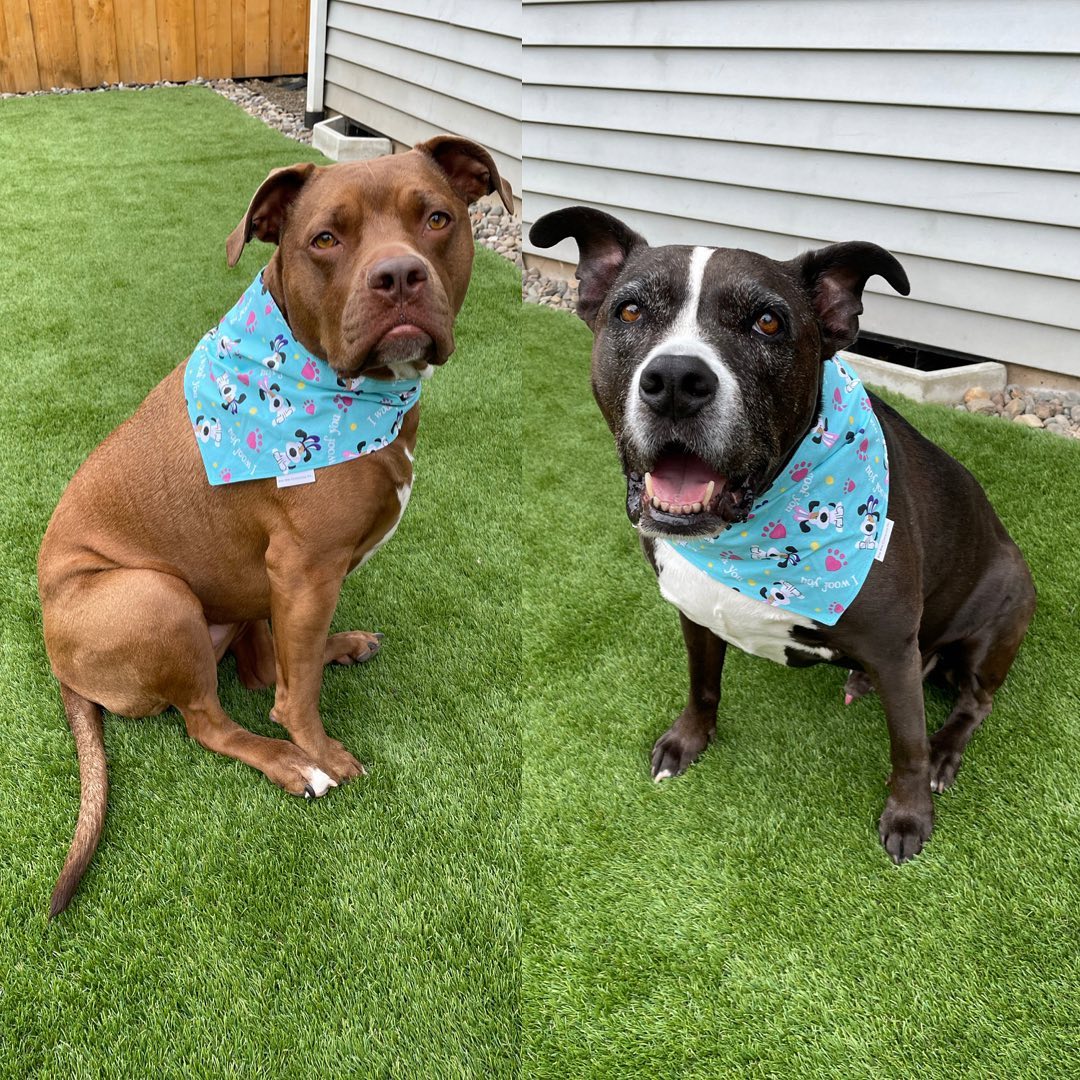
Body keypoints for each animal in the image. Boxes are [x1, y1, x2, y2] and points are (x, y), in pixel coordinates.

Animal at [39, 132, 511, 911]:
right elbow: (299, 698)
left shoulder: (292, 582)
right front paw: (321, 753)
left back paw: (340, 646)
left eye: (438, 219)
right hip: (156, 596)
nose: (399, 276)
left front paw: (326, 660)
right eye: (325, 239)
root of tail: (57, 661)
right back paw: (289, 763)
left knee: (266, 666)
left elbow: (294, 668)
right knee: (211, 719)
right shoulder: (305, 568)